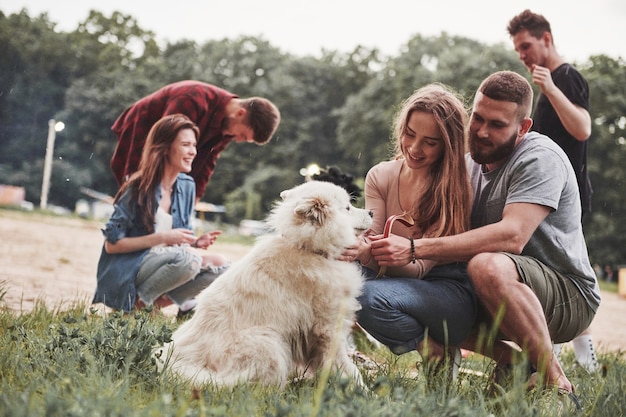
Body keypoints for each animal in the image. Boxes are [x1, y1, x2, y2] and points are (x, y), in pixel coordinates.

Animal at [156, 181, 370, 386]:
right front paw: (359, 389)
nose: (371, 212)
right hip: (268, 343)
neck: (310, 249)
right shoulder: (328, 327)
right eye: (348, 208)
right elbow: (346, 366)